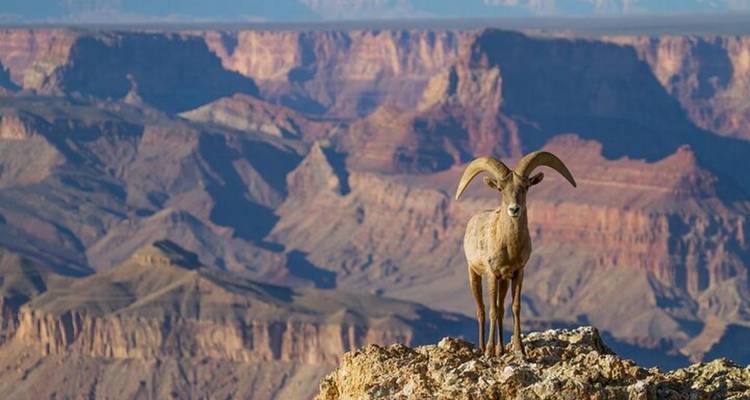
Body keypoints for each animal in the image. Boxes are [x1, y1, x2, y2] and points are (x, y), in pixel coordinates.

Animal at [454, 151, 576, 357]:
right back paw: (483, 348)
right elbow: (492, 310)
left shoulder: (517, 273)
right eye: (500, 189)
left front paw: (519, 348)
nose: (514, 209)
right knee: (482, 310)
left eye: (525, 187)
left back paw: (501, 349)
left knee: (501, 309)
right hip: (474, 274)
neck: (509, 247)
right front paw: (489, 351)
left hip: (504, 281)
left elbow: (514, 307)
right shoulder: (492, 275)